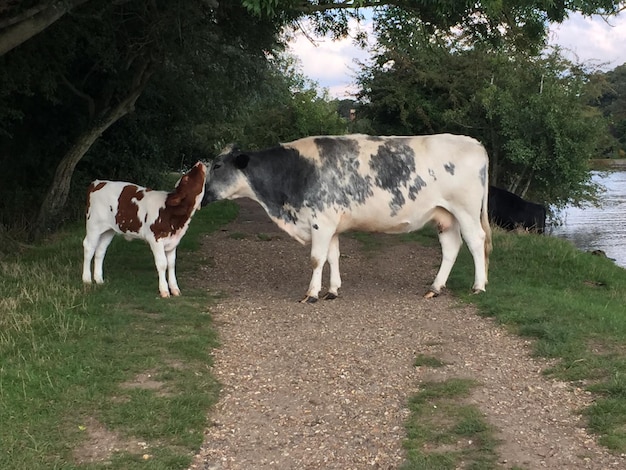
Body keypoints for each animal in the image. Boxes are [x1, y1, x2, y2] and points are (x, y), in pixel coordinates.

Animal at [81, 162, 205, 298]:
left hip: (108, 230)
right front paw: (164, 290)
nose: (199, 163)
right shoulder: (155, 239)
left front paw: (175, 289)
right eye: (186, 178)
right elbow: (162, 264)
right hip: (94, 225)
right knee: (89, 247)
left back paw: (99, 280)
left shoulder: (173, 241)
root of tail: (98, 182)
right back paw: (87, 279)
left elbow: (171, 264)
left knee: (100, 250)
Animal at [202, 133, 490, 302]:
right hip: (445, 215)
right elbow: (333, 256)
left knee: (476, 242)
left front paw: (312, 293)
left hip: (466, 210)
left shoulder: (321, 221)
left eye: (217, 165)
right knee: (451, 247)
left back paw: (479, 286)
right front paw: (332, 290)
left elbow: (316, 258)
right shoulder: (331, 224)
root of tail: (475, 142)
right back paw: (435, 287)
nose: (202, 198)